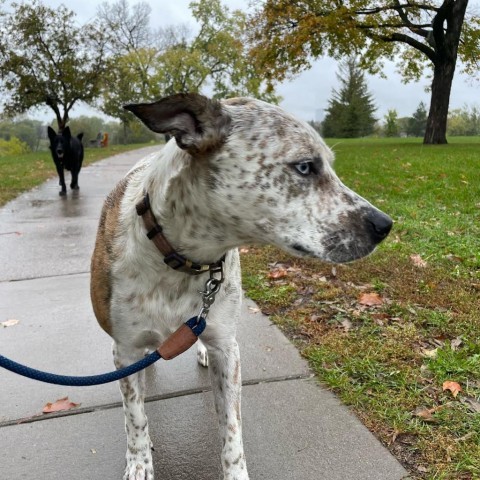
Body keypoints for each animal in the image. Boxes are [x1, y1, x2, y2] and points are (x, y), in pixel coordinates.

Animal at [91, 94, 394, 480]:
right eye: (305, 167)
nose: (385, 225)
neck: (181, 260)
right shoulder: (125, 349)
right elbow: (135, 416)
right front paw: (139, 461)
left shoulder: (228, 351)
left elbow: (232, 430)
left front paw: (235, 471)